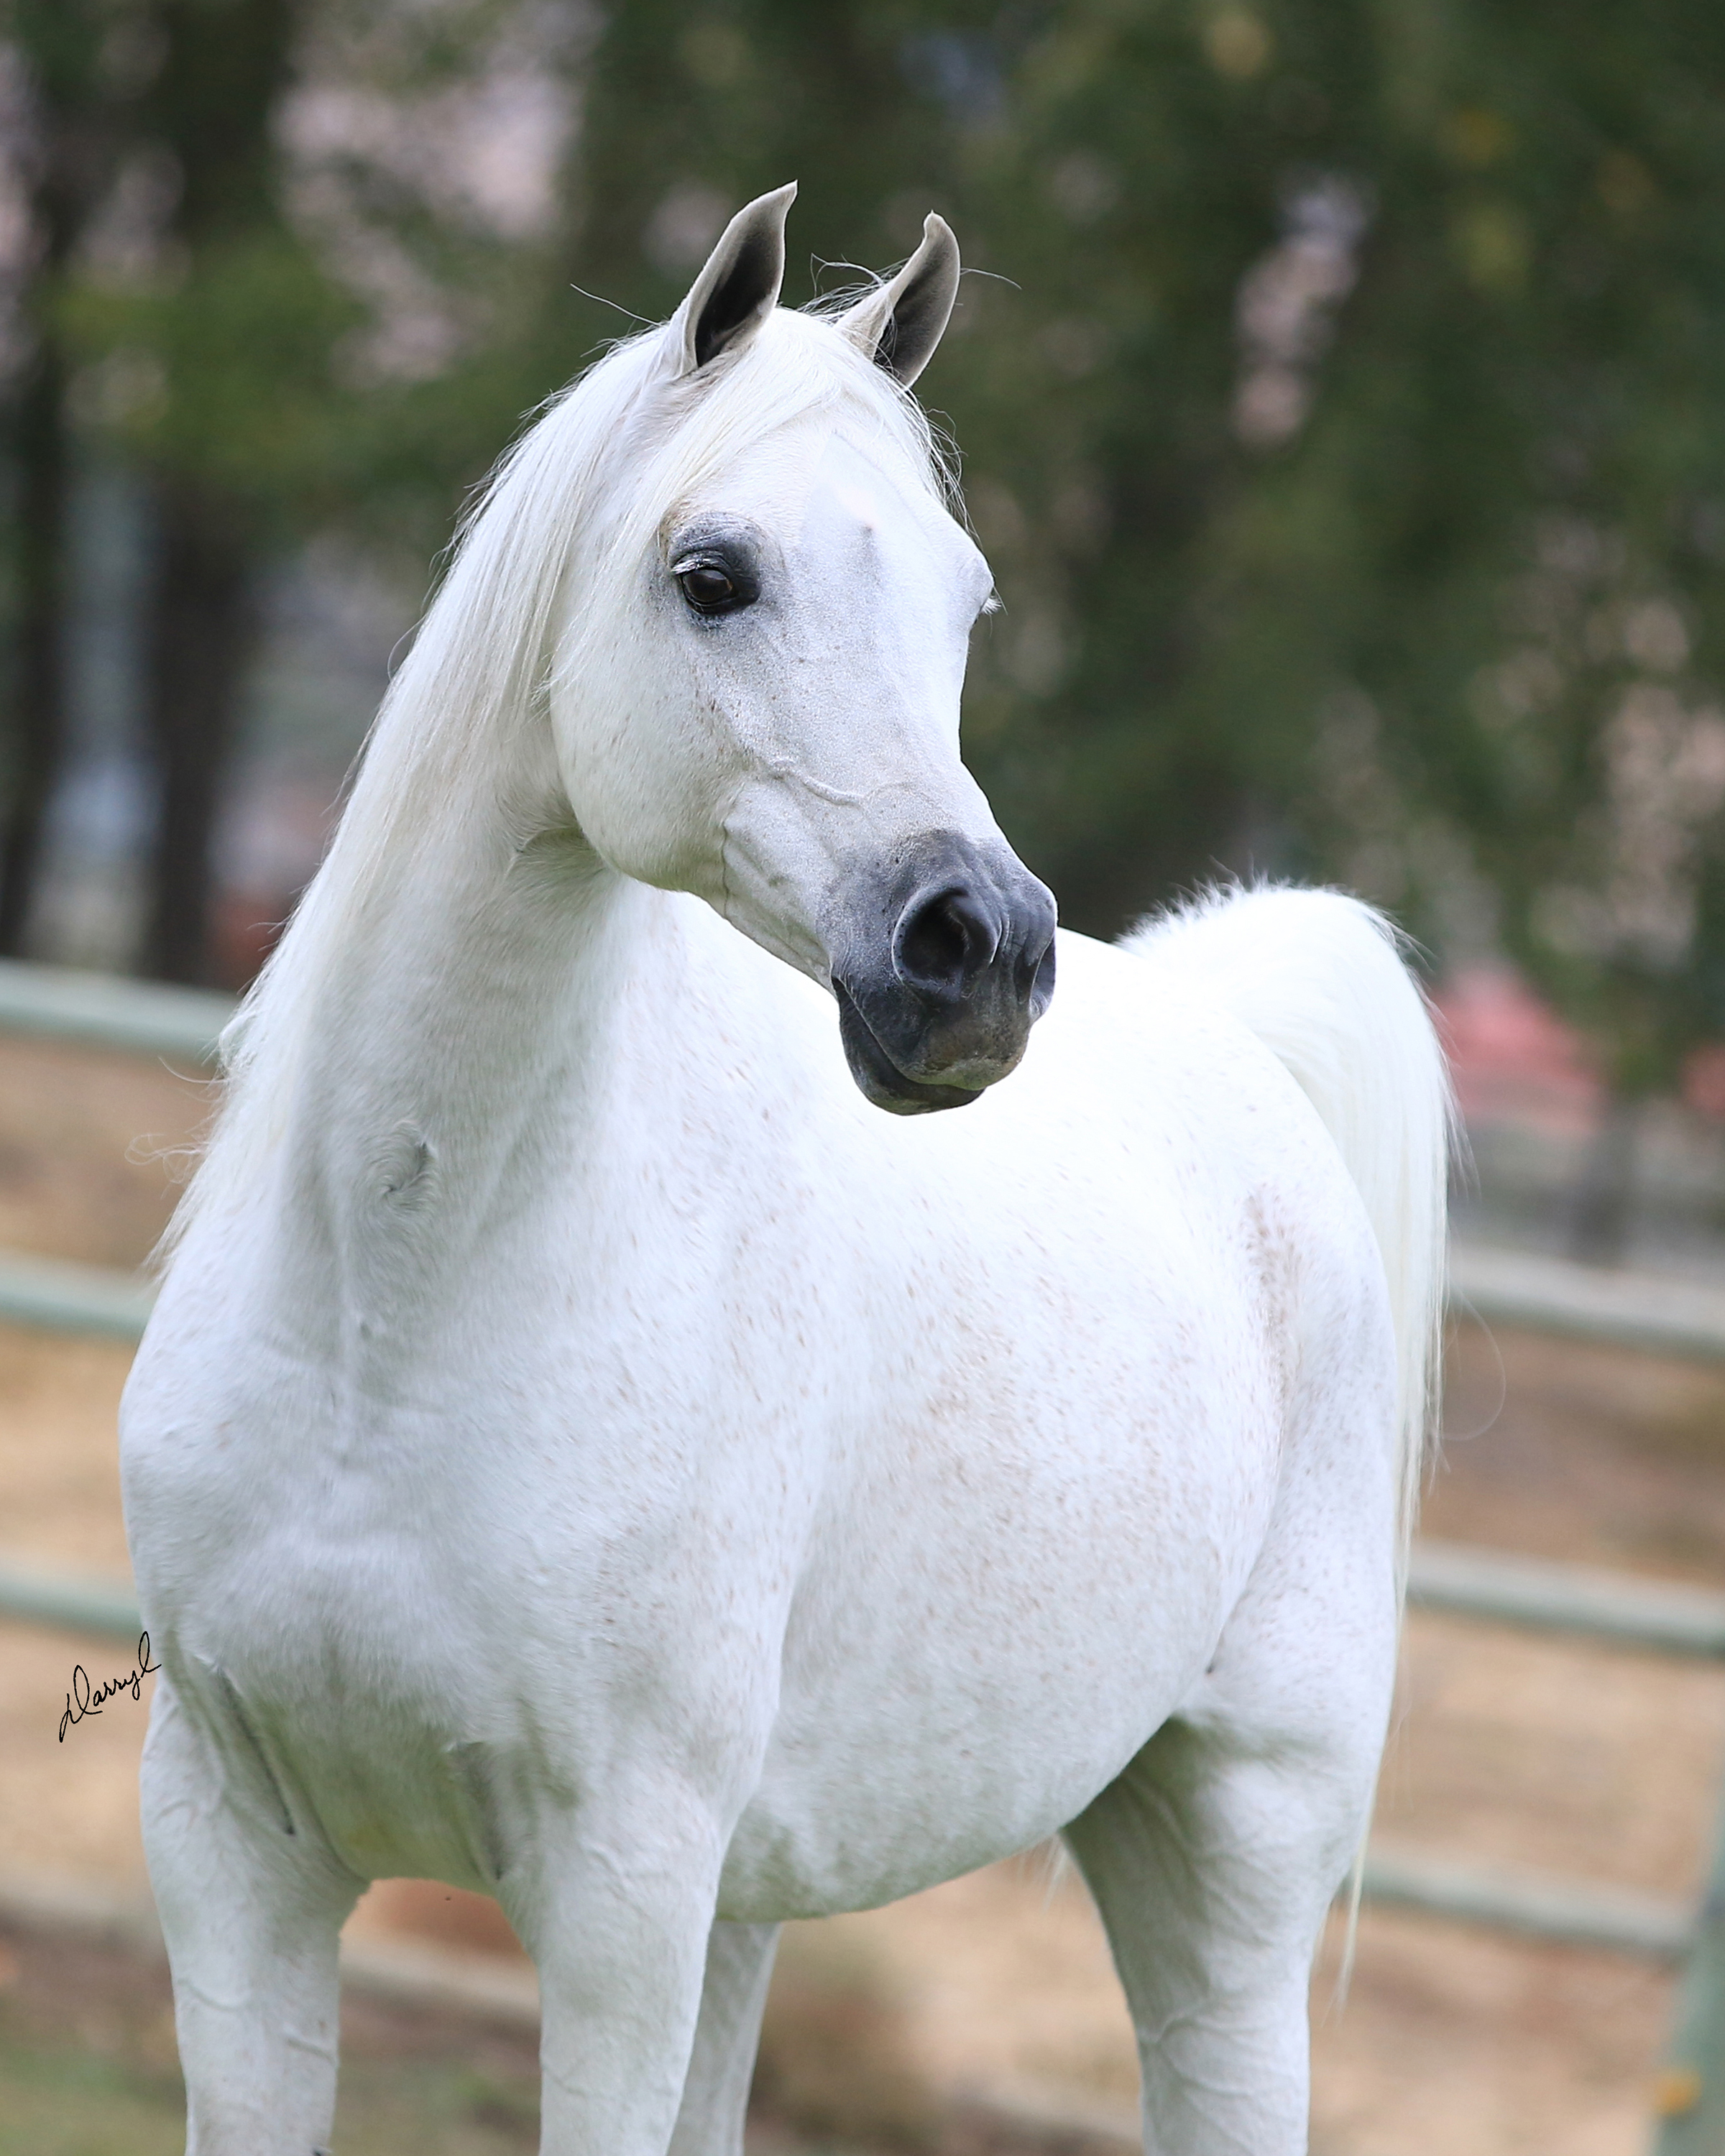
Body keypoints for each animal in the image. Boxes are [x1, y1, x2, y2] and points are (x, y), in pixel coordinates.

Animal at [120, 183, 1450, 2156]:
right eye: (711, 574)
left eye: (967, 600)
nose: (979, 952)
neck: (391, 1307)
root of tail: (1235, 1039)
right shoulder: (233, 1856)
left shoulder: (619, 1908)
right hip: (765, 1905)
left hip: (1228, 1864)